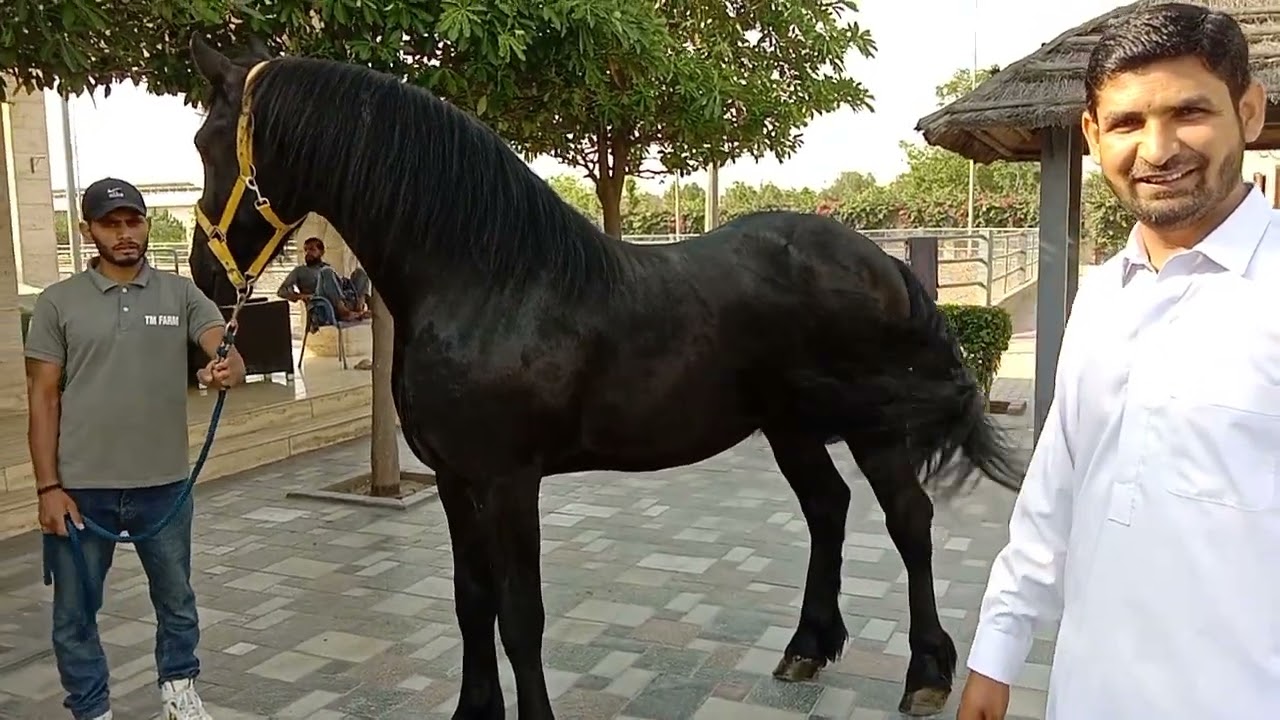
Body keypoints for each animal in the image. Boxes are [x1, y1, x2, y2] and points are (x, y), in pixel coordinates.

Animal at [186, 35, 1023, 719]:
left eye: (205, 140)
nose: (204, 273)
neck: (487, 279)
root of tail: (880, 260)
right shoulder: (457, 481)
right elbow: (470, 604)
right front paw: (473, 711)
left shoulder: (509, 480)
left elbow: (520, 617)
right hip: (786, 425)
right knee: (828, 508)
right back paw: (807, 647)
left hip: (873, 428)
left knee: (909, 521)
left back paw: (926, 674)